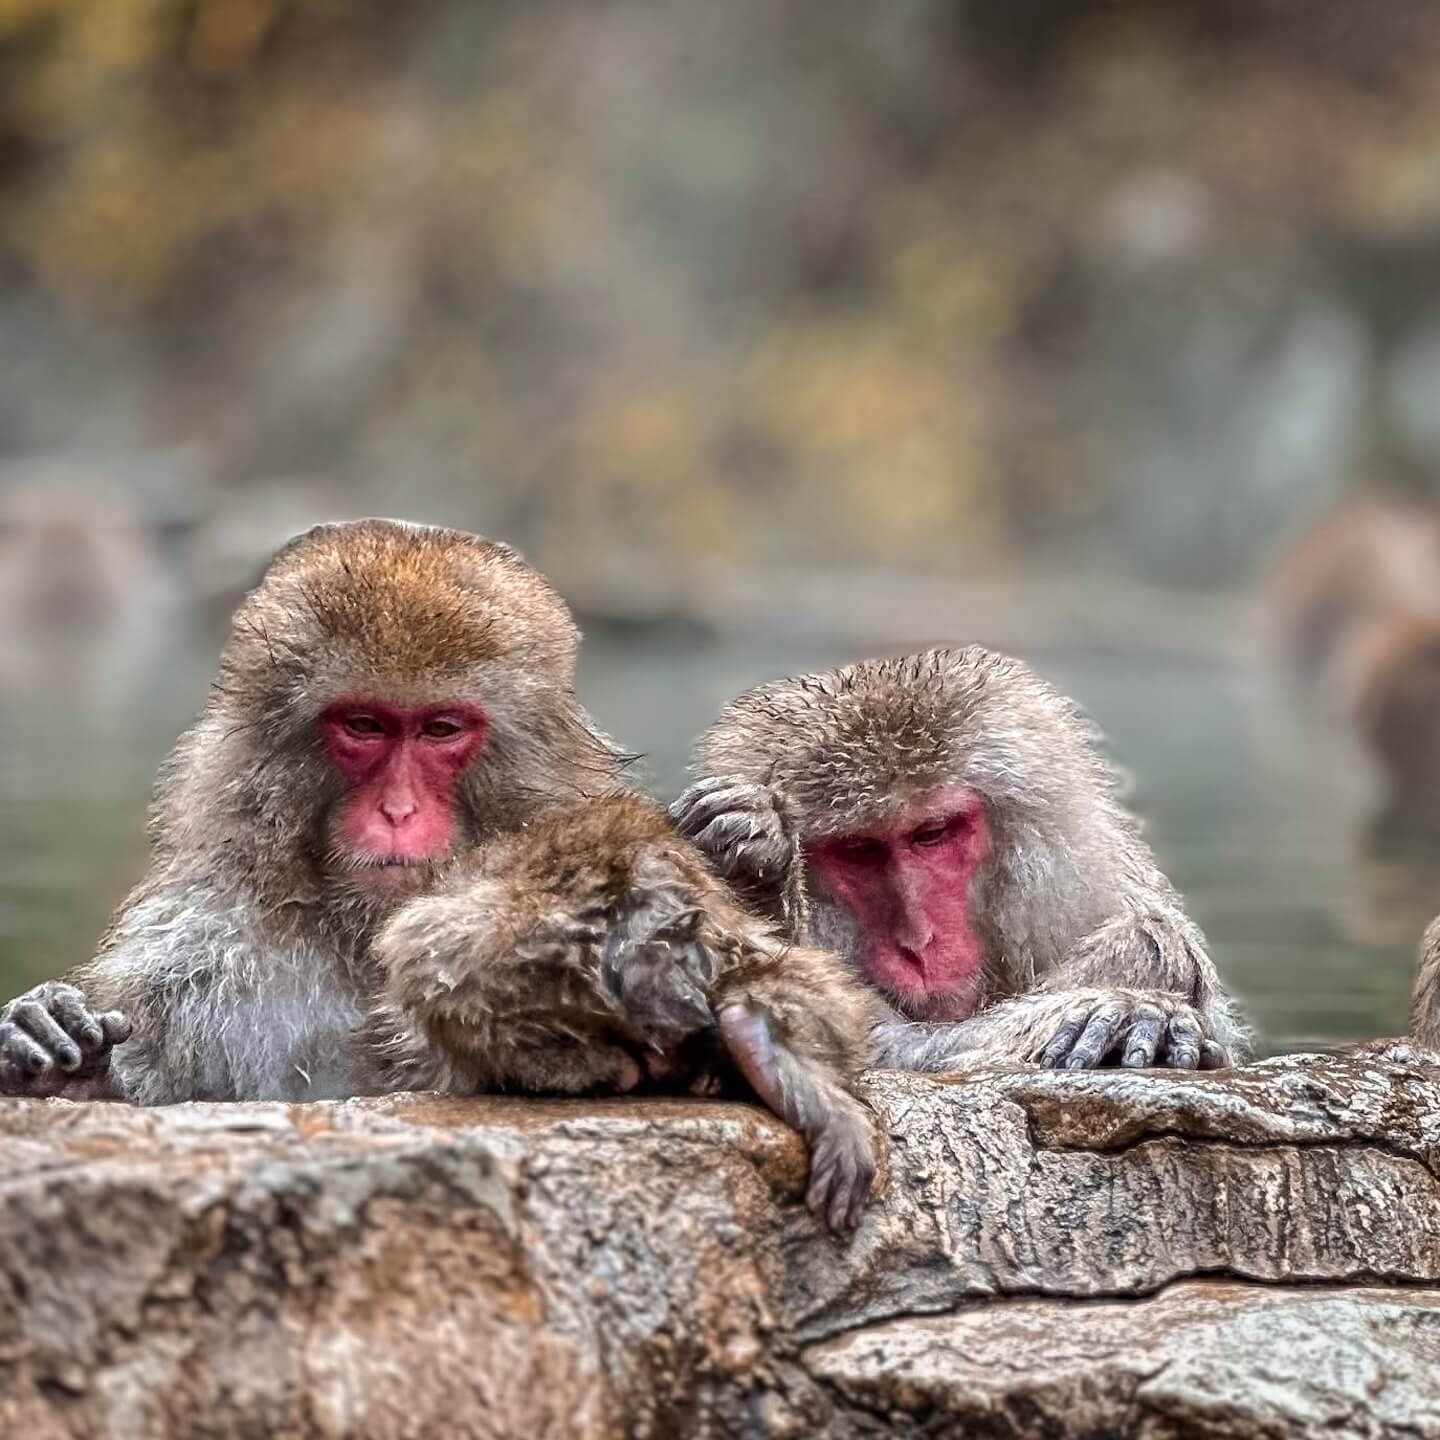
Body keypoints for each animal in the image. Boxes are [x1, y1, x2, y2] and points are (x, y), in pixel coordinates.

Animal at [0, 524, 875, 1232]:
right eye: (363, 726)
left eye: (441, 730)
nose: (397, 810)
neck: (356, 939)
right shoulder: (192, 952)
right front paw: (50, 1050)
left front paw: (749, 843)